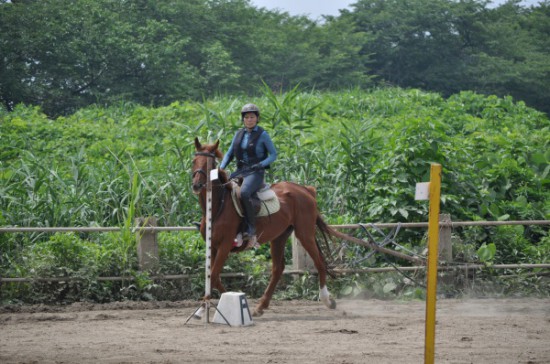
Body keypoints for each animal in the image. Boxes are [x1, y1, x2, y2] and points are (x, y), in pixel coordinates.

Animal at [194, 138, 340, 318]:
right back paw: (261, 306)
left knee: (319, 263)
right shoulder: (213, 246)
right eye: (194, 161)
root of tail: (306, 190)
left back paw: (327, 300)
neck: (217, 206)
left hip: (304, 234)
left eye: (210, 164)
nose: (197, 185)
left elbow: (214, 277)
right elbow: (212, 277)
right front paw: (208, 306)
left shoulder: (225, 245)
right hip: (279, 237)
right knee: (278, 269)